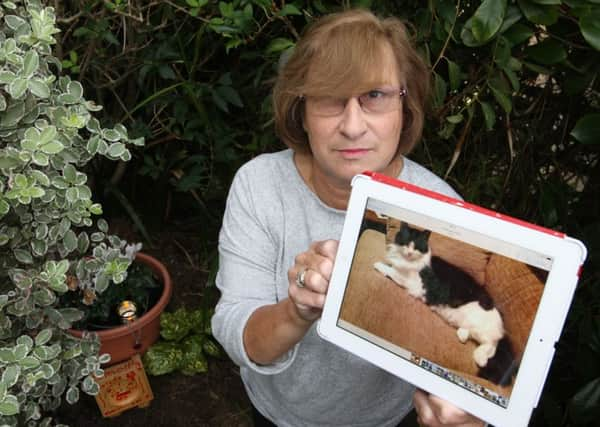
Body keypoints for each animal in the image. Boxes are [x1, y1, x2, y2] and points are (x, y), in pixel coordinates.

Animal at [372, 222, 512, 386]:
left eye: (417, 246)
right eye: (406, 243)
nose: (410, 253)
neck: (408, 262)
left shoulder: (414, 285)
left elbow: (391, 271)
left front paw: (379, 265)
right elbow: (392, 266)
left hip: (481, 328)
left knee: (492, 345)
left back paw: (480, 358)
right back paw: (463, 336)